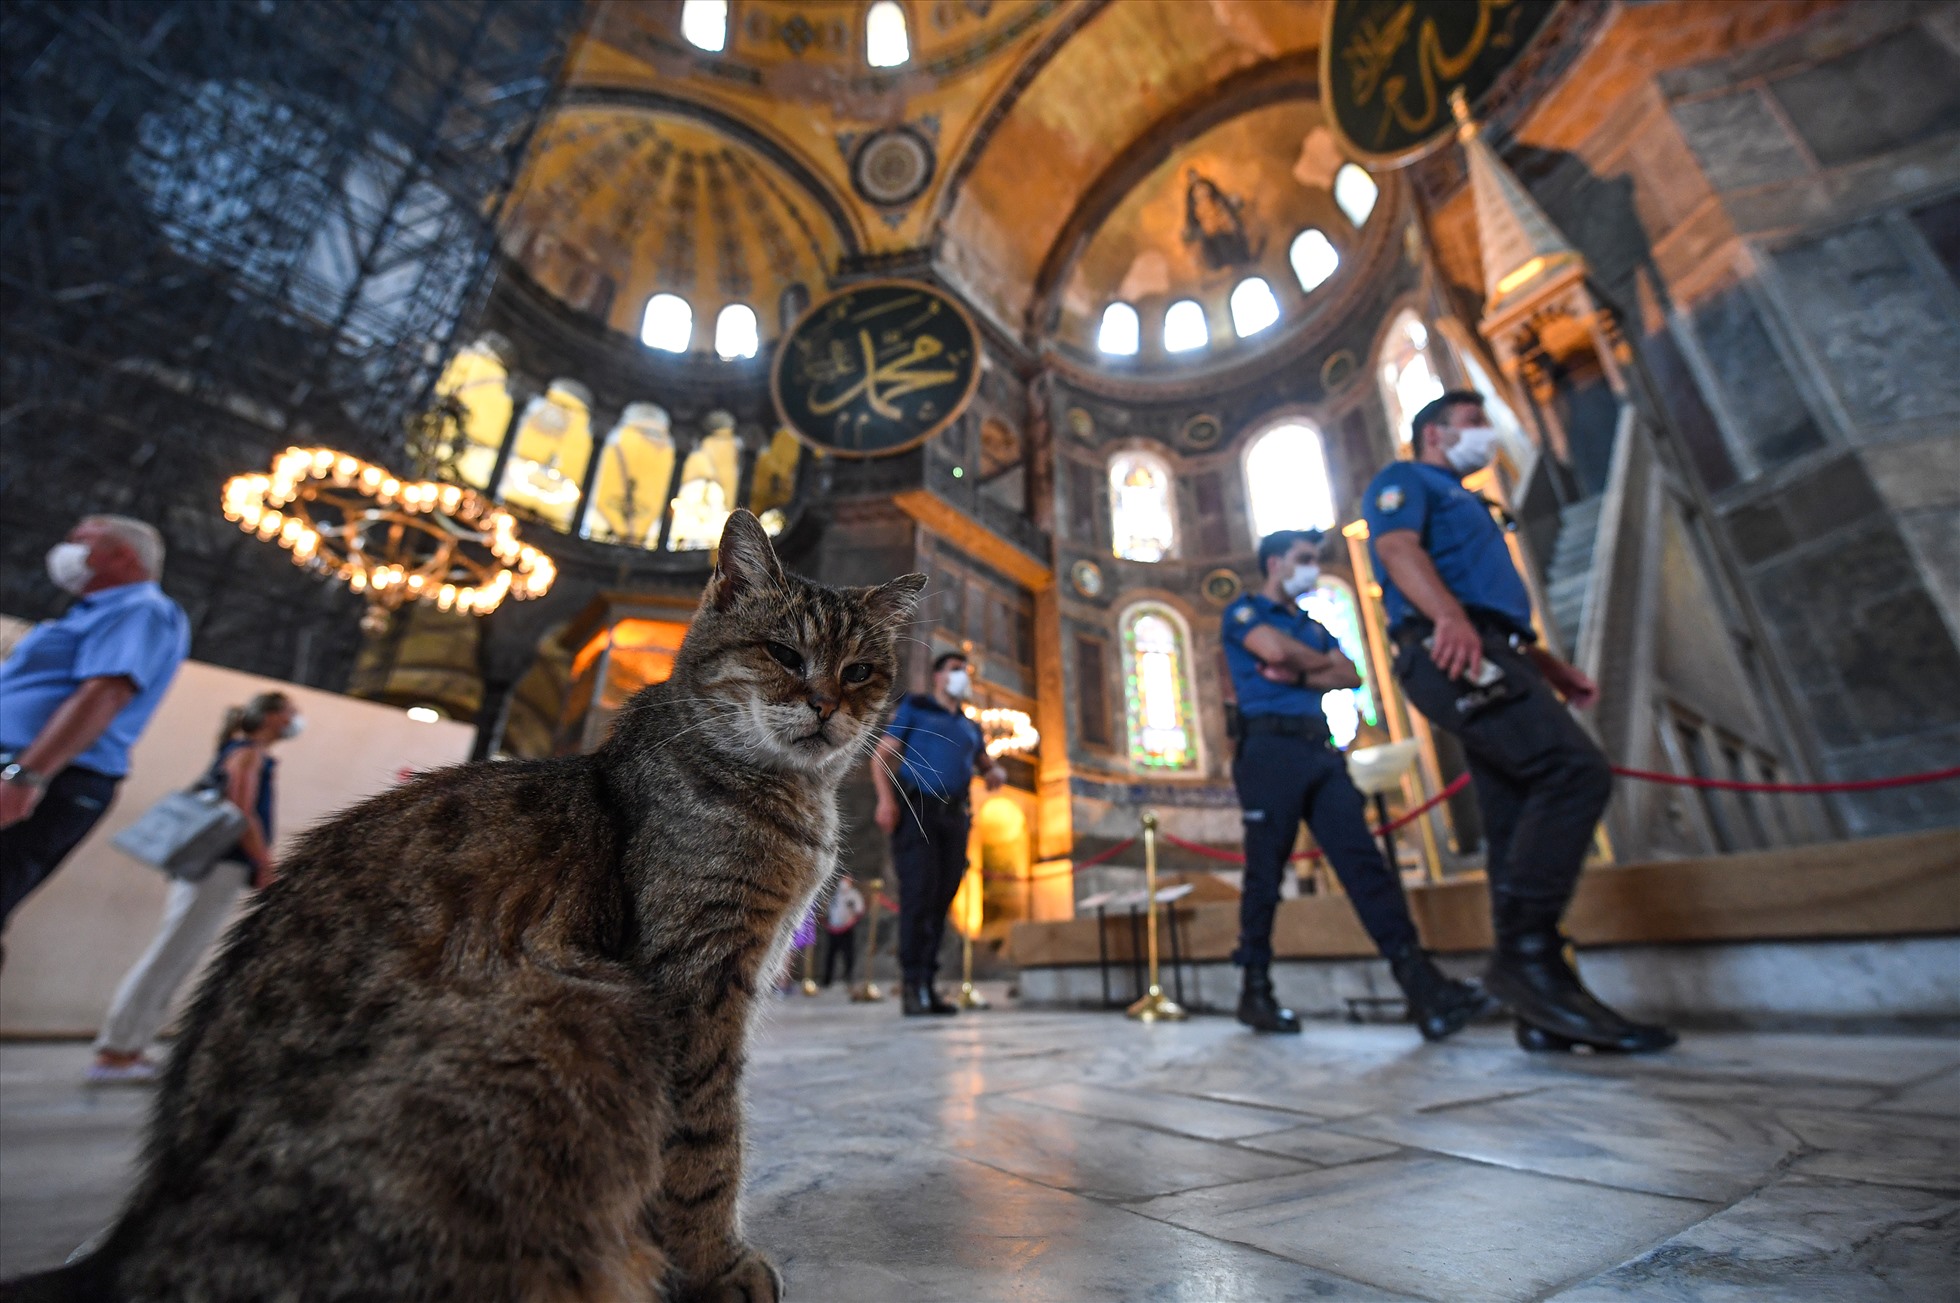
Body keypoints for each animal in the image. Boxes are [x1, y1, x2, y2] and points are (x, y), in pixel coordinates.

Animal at [7, 509, 925, 1301]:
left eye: (860, 671)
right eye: (783, 652)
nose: (829, 705)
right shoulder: (692, 981)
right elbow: (704, 1142)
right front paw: (713, 1265)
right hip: (581, 1015)